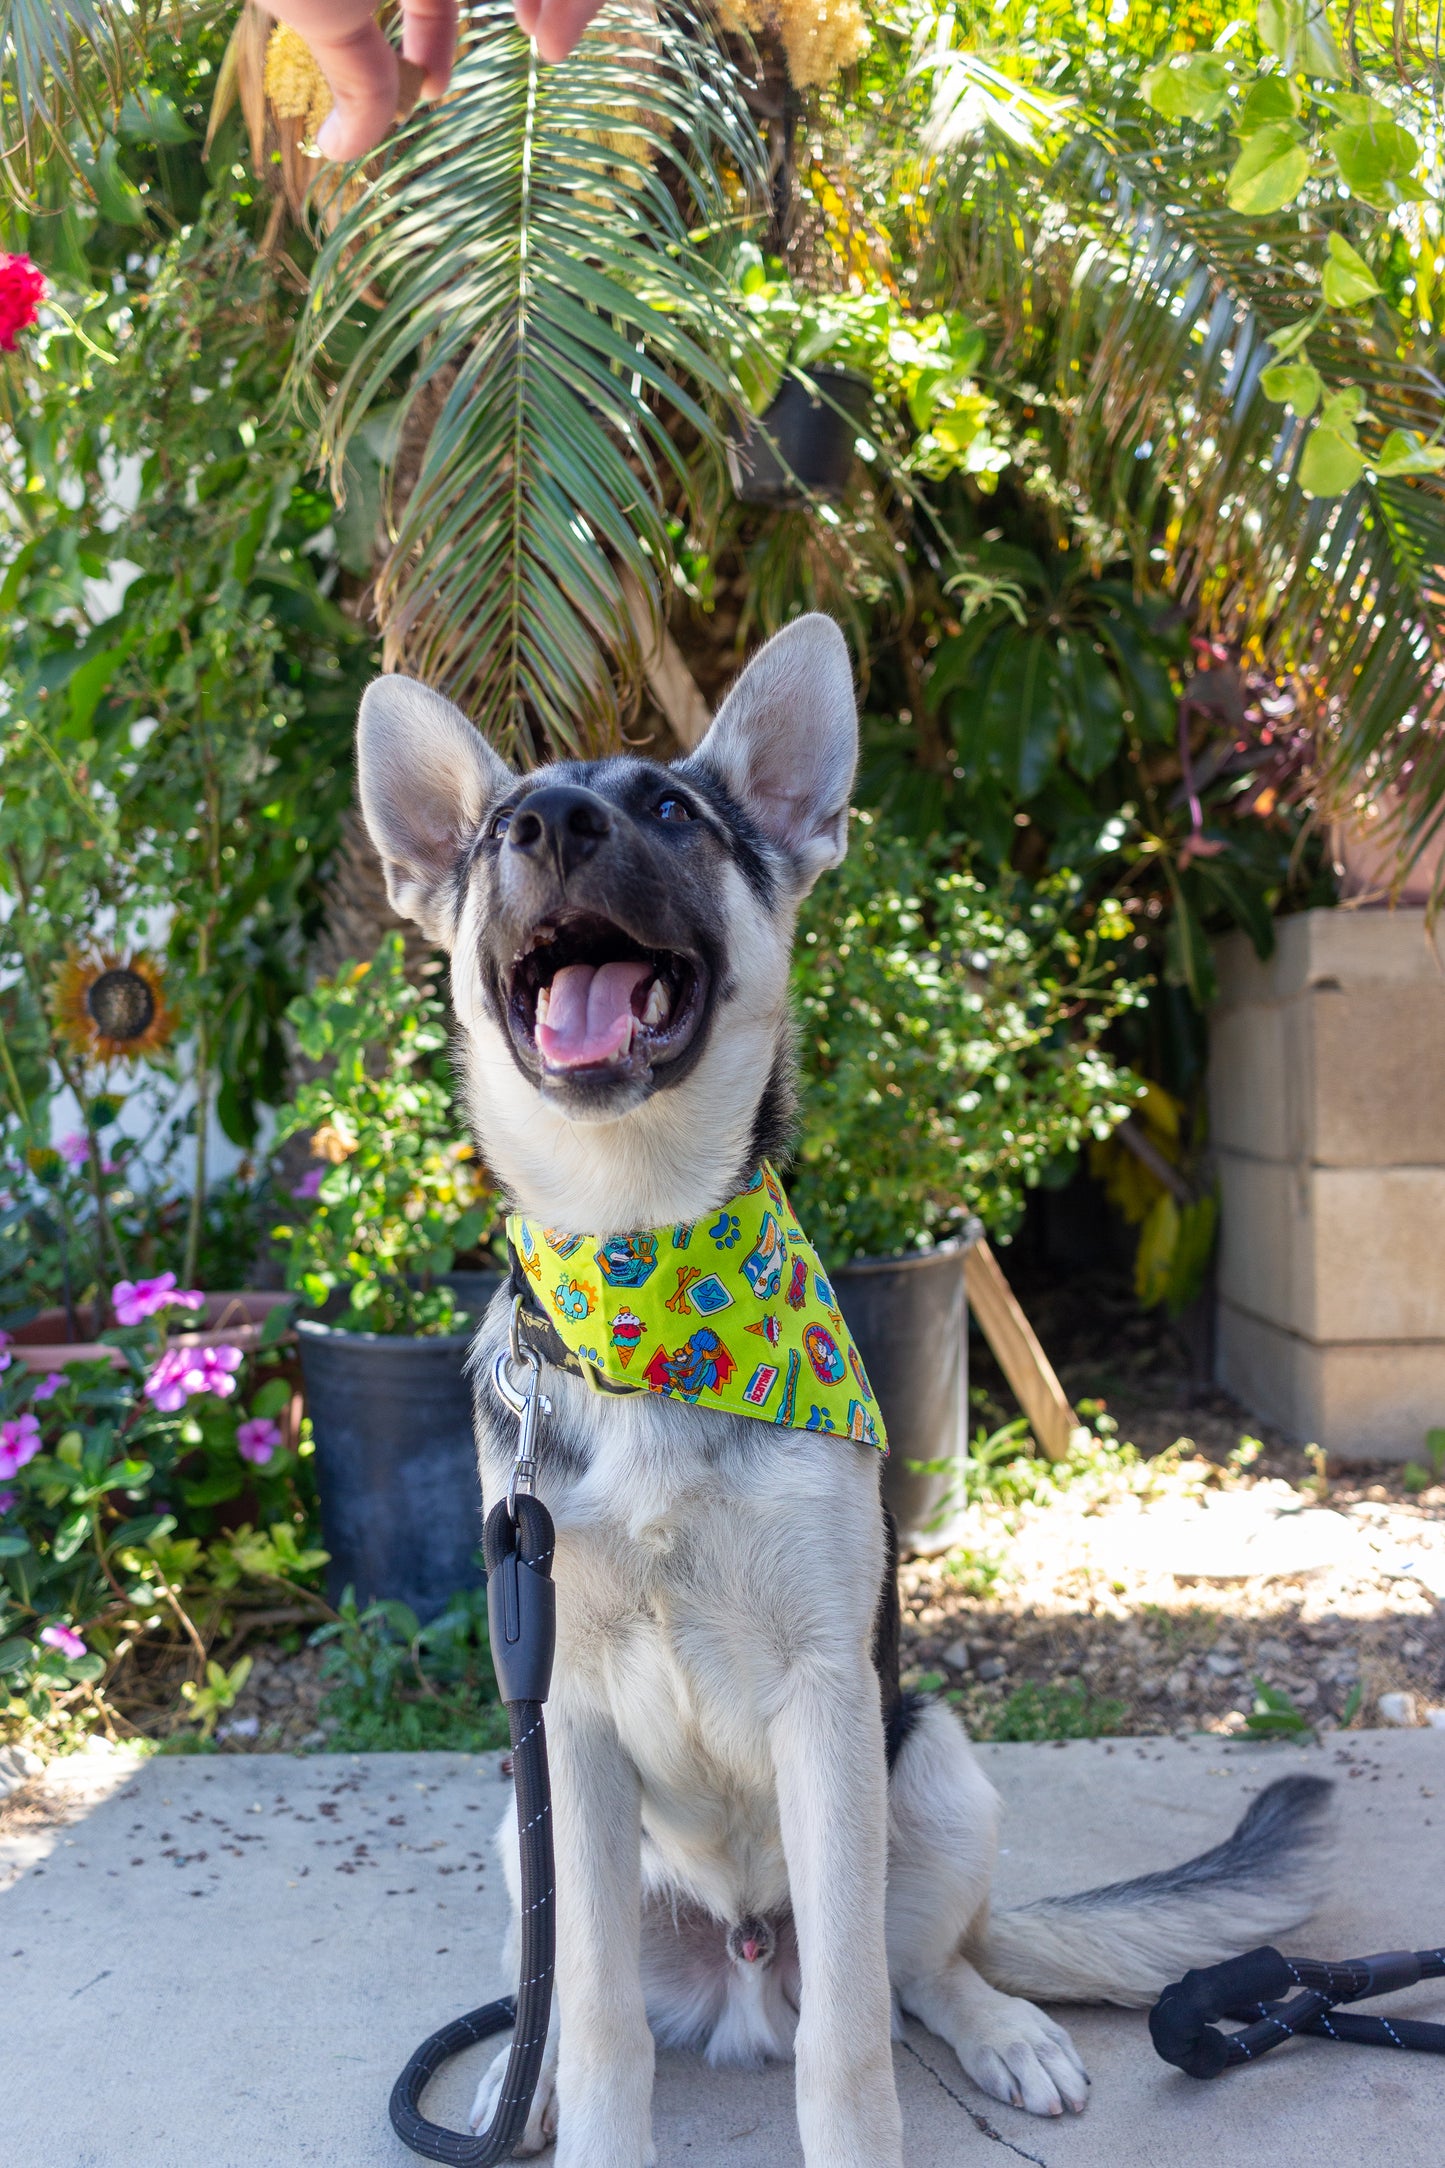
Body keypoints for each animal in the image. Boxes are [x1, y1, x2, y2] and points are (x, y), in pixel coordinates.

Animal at [353, 620, 1334, 2159]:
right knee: (564, 1987)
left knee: (918, 1967)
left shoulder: (826, 1698)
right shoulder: (563, 1720)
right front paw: (587, 2109)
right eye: (504, 825)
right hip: (525, 1826)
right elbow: (604, 2014)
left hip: (928, 1760)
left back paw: (999, 2027)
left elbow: (852, 2044)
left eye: (672, 810)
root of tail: (744, 1965)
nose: (547, 825)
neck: (645, 1280)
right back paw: (536, 2074)